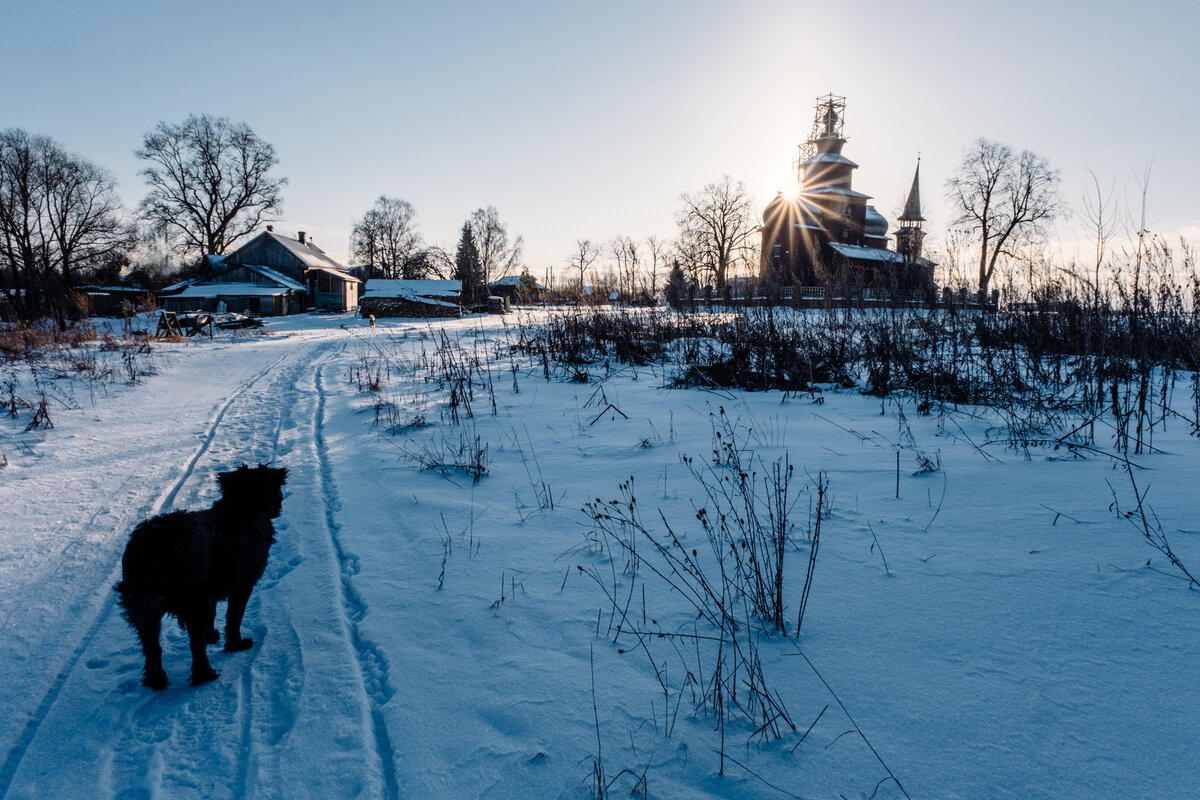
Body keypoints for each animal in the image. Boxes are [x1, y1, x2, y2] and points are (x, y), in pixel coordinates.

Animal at [115, 462, 289, 690]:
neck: (242, 509)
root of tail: (150, 544)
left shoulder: (212, 589)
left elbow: (214, 615)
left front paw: (212, 636)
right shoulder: (242, 585)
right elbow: (234, 618)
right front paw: (236, 644)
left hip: (143, 608)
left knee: (152, 648)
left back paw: (157, 680)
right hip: (192, 600)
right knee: (195, 646)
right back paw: (205, 675)